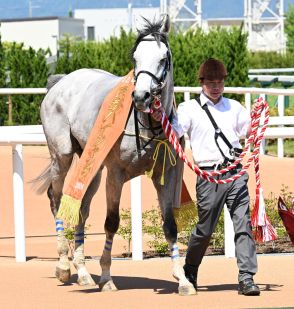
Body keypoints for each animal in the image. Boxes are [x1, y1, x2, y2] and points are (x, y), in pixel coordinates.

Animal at [35, 15, 195, 294]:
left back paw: (83, 272)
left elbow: (170, 224)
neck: (147, 125)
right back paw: (64, 265)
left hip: (93, 165)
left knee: (81, 208)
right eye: (135, 58)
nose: (141, 96)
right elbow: (111, 221)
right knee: (57, 199)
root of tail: (61, 81)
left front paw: (183, 280)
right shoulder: (116, 174)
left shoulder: (168, 173)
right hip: (62, 155)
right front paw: (107, 277)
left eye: (163, 58)